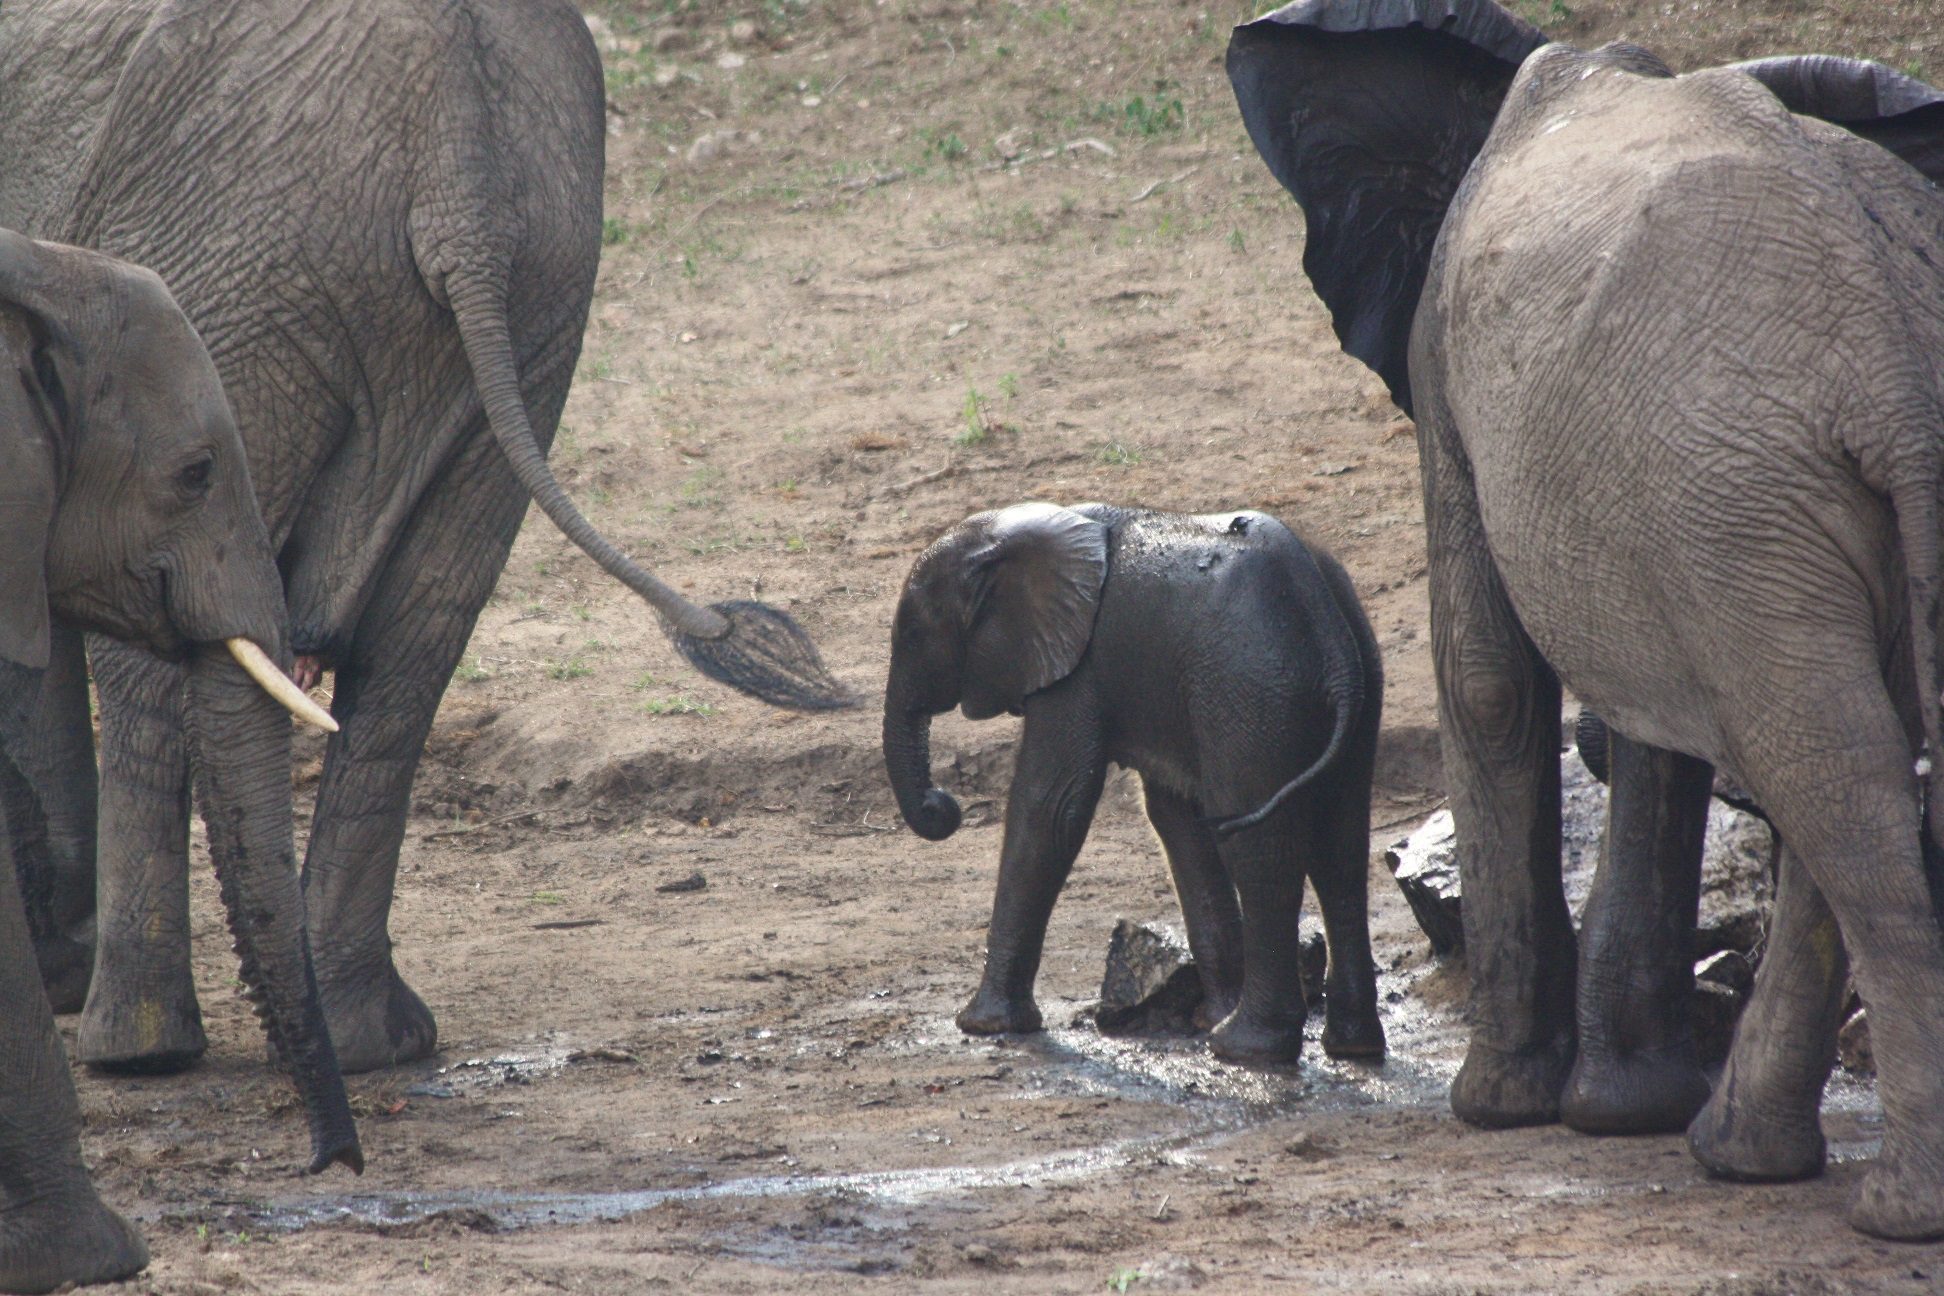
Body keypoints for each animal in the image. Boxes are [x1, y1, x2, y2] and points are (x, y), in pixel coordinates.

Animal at [0, 0, 851, 1072]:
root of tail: (460, 163)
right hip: (539, 295)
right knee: (420, 639)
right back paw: (370, 1041)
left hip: (238, 271)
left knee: (163, 660)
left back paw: (138, 1048)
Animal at [882, 501, 1384, 1072]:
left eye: (911, 635)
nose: (943, 804)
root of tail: (1330, 634)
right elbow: (1177, 818)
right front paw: (1209, 1014)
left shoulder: (1077, 670)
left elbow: (1051, 806)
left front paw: (984, 1025)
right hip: (1350, 678)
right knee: (1340, 844)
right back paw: (1351, 1046)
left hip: (1254, 689)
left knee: (1258, 846)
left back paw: (1245, 1050)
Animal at [1236, 2, 1944, 1235]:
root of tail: (1900, 364)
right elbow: (1656, 733)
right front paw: (1625, 1109)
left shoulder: (1449, 356)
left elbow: (1487, 679)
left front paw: (1501, 1108)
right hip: (1759, 500)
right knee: (1844, 764)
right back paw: (1748, 1156)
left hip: (1740, 491)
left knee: (1827, 769)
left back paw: (1890, 1205)